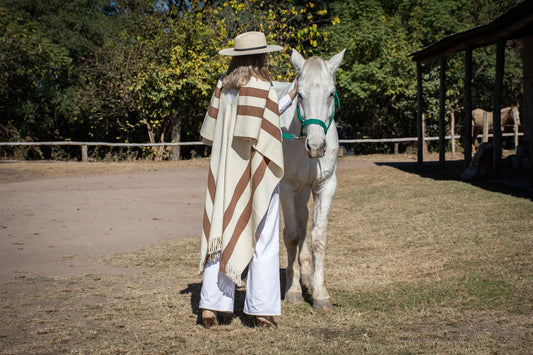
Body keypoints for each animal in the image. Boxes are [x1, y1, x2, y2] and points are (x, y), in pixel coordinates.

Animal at [274, 48, 344, 310]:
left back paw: (305, 273)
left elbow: (318, 236)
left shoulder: (325, 186)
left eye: (331, 93)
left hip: (304, 191)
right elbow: (292, 235)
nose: (316, 147)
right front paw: (292, 290)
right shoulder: (286, 188)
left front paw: (320, 292)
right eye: (300, 95)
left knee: (304, 220)